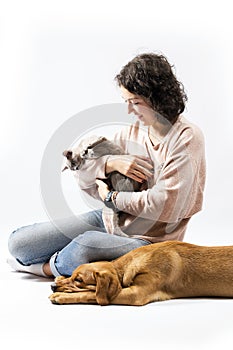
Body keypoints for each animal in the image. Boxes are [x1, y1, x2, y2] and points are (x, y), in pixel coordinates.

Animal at [48, 241, 233, 306]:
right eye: (73, 276)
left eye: (79, 280)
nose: (52, 286)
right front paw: (60, 278)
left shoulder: (136, 294)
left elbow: (90, 294)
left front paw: (61, 297)